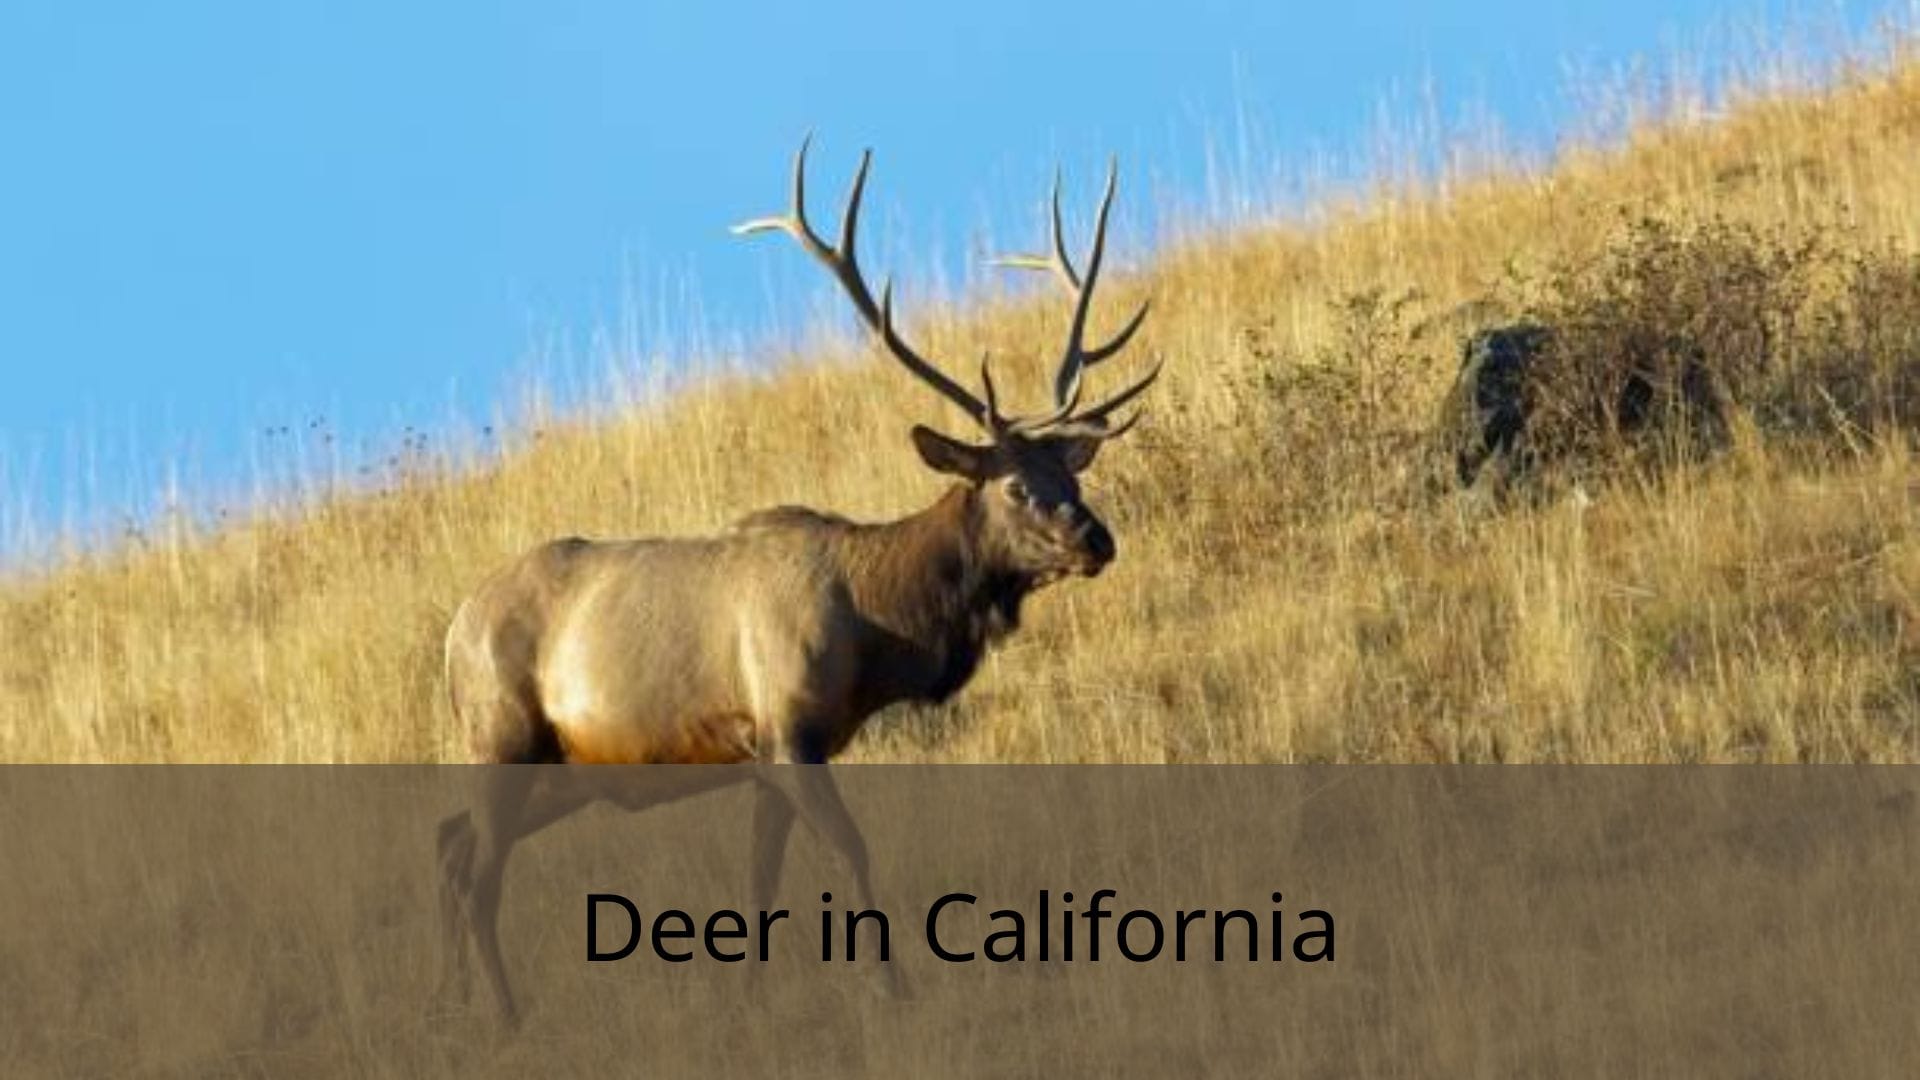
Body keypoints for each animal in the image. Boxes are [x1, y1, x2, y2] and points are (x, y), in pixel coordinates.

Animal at [434, 138, 1160, 1024]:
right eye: (1018, 485)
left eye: (1073, 472)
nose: (1097, 539)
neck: (876, 629)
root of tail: (453, 632)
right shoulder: (787, 729)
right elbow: (850, 853)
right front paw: (893, 986)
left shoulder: (761, 756)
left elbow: (760, 879)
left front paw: (752, 999)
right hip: (500, 733)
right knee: (478, 873)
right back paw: (505, 1015)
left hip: (563, 768)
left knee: (451, 842)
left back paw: (454, 997)